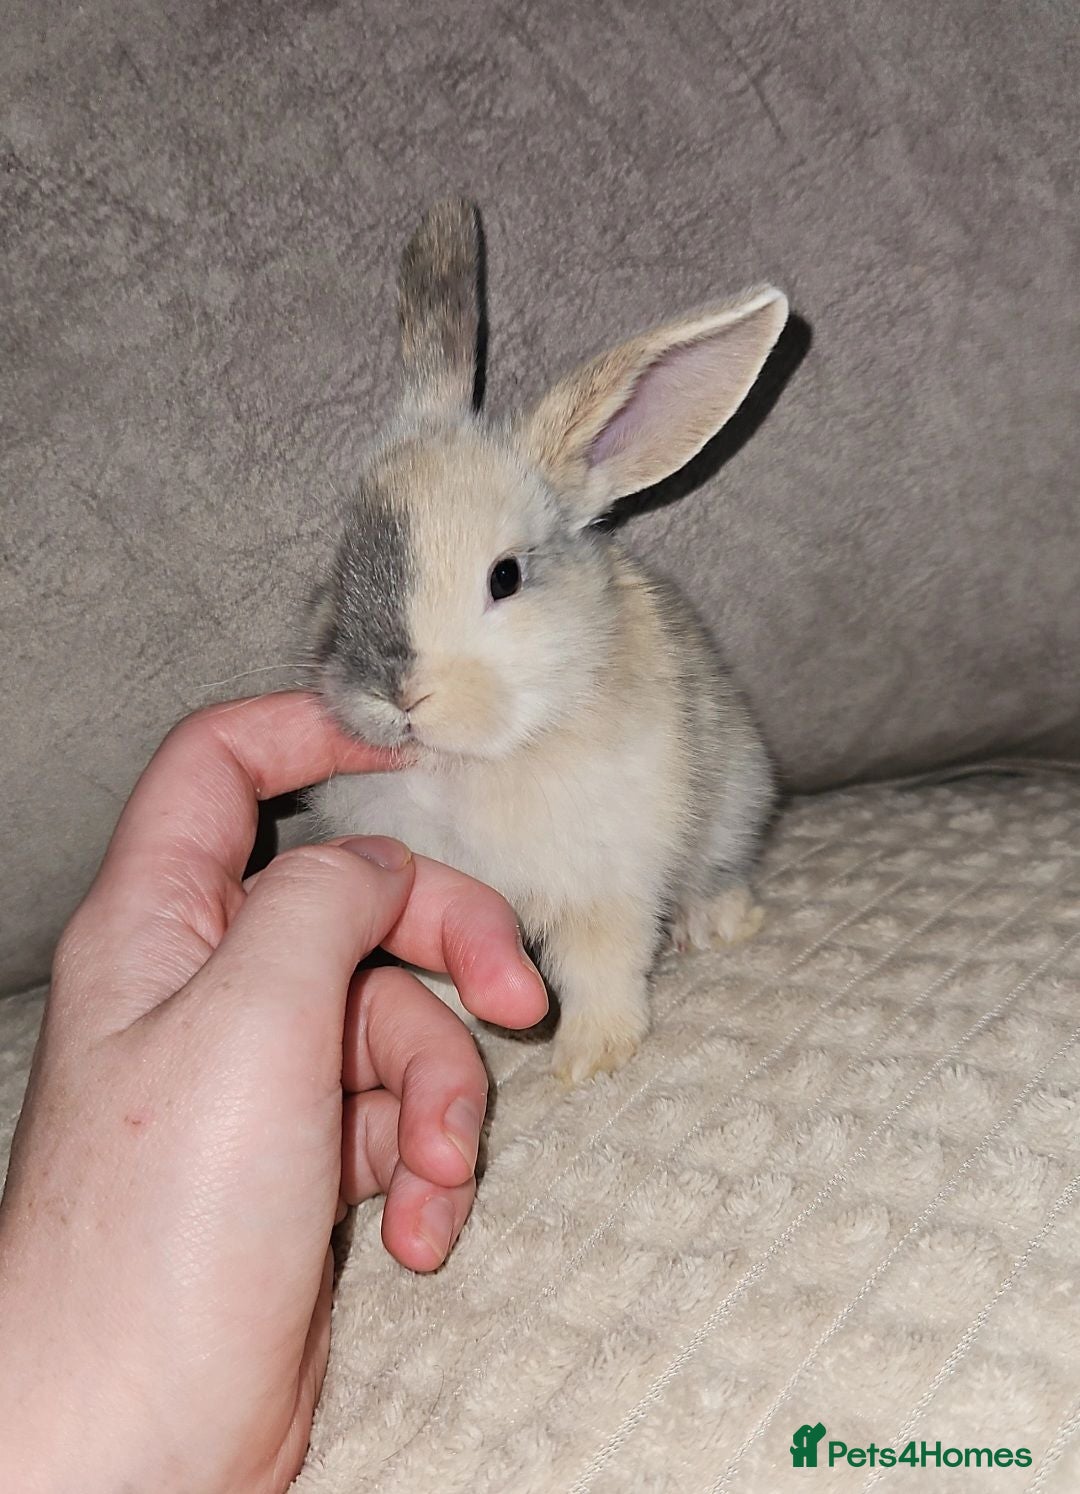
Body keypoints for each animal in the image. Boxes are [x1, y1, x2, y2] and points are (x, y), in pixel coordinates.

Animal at [308, 199, 787, 1085]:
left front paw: (592, 1058)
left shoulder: (606, 882)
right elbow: (440, 976)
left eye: (506, 577)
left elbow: (602, 964)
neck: (477, 761)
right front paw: (454, 1030)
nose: (396, 692)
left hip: (732, 808)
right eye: (339, 561)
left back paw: (714, 925)